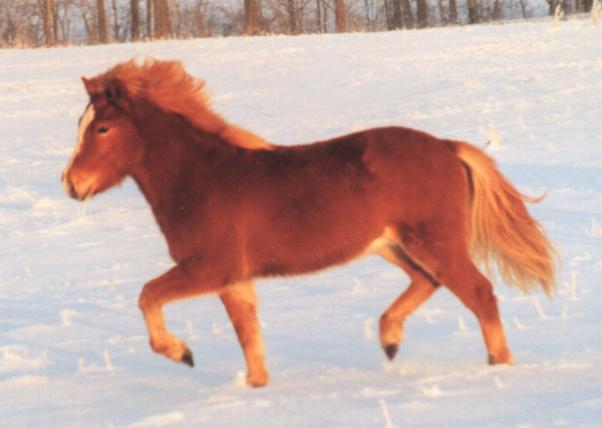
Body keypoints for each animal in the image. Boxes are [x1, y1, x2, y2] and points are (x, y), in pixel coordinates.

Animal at [61, 58, 552, 390]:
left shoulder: (210, 268)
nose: (71, 183)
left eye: (102, 128)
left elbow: (147, 296)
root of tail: (448, 147)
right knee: (427, 282)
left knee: (479, 292)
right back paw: (390, 339)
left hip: (433, 242)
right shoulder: (234, 280)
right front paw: (256, 389)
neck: (201, 179)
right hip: (392, 245)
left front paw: (182, 353)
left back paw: (498, 366)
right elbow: (249, 339)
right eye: (81, 124)